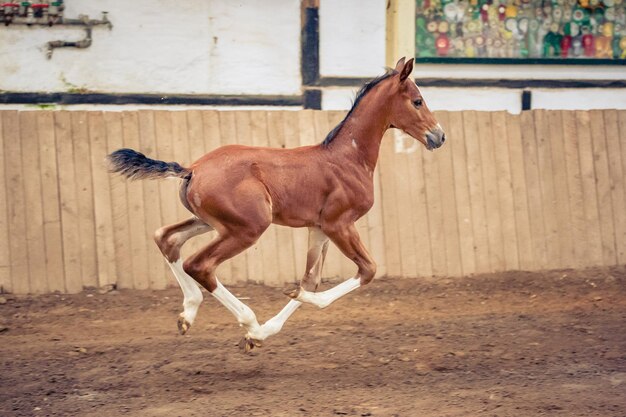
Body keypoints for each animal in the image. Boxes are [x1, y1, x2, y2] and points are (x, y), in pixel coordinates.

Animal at [108, 57, 444, 352]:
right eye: (417, 101)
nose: (439, 136)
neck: (348, 158)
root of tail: (193, 169)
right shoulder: (340, 223)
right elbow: (367, 269)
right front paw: (260, 330)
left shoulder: (319, 228)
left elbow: (311, 280)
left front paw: (268, 329)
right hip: (248, 228)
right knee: (199, 264)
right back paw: (248, 322)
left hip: (210, 222)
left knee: (167, 238)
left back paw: (189, 314)